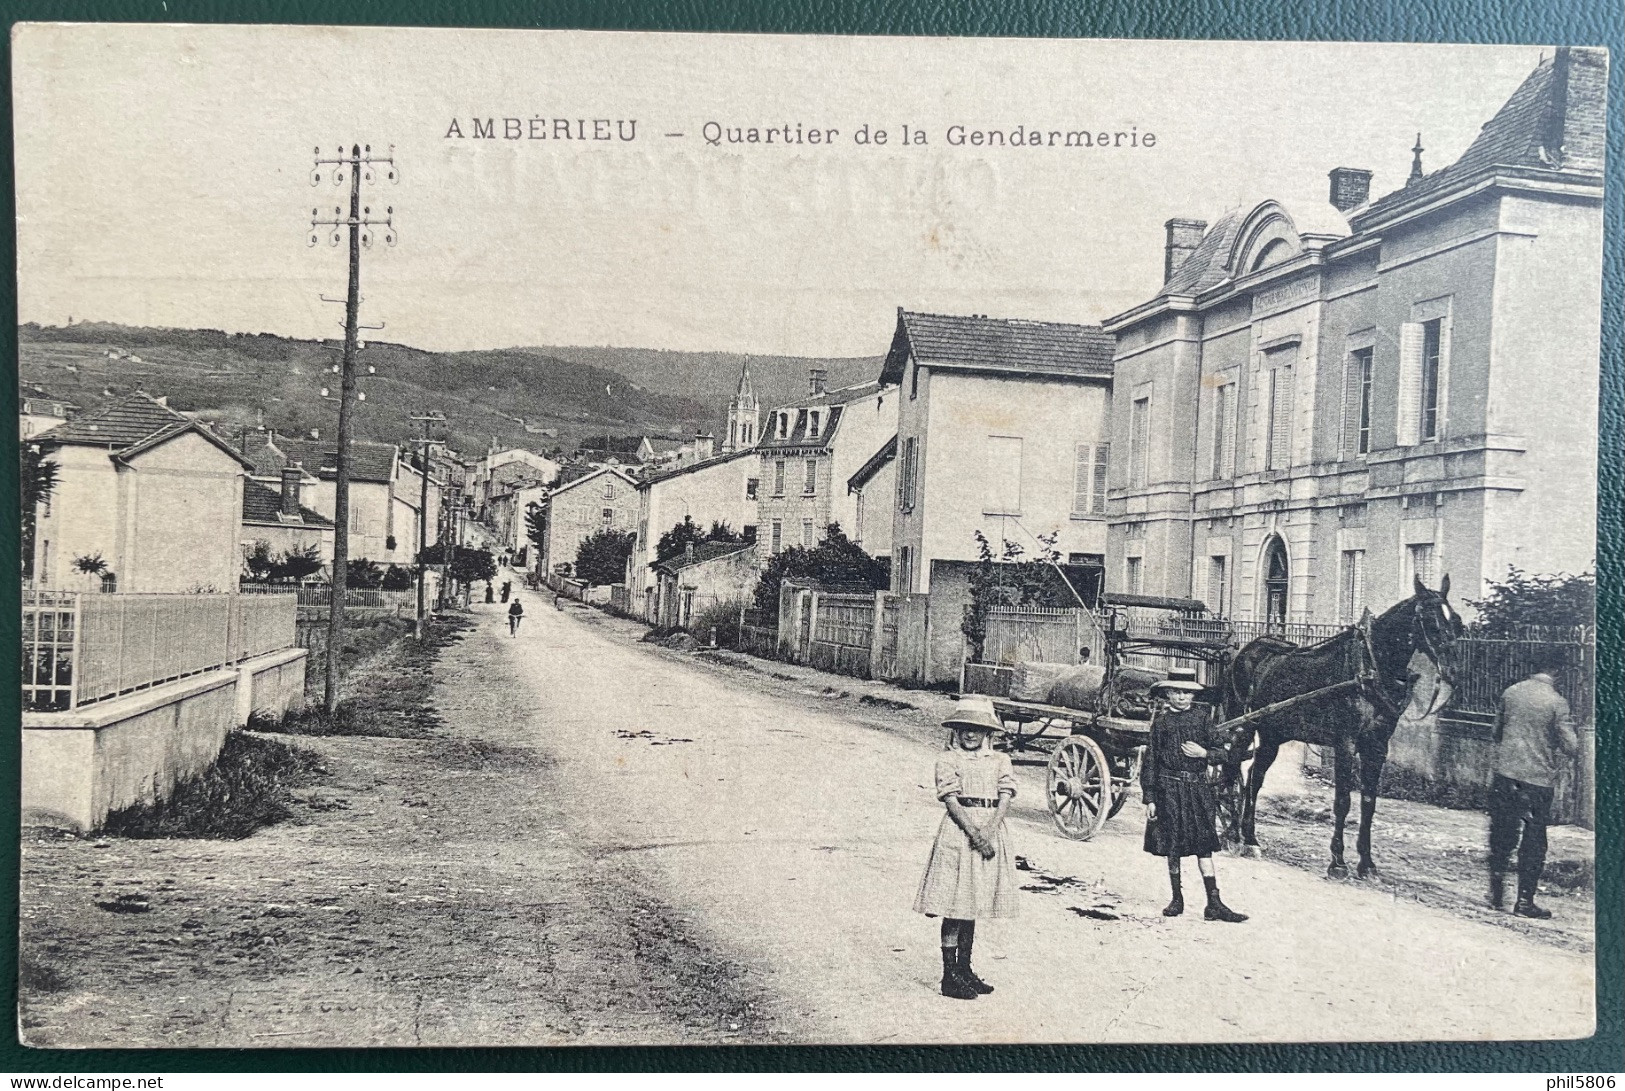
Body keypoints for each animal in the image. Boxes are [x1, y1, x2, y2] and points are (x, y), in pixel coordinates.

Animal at [1222, 575, 1462, 884]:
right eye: (1431, 621)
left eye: (1455, 620)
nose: (1454, 671)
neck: (1370, 667)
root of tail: (1251, 646)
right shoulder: (1345, 744)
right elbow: (1343, 801)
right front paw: (1337, 862)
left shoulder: (1377, 746)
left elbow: (1369, 803)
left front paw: (1367, 864)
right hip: (1245, 725)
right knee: (1231, 767)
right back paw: (1232, 832)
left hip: (1274, 733)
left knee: (1255, 776)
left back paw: (1249, 837)